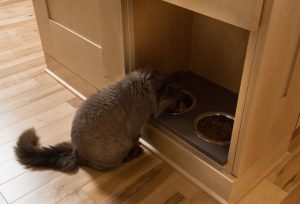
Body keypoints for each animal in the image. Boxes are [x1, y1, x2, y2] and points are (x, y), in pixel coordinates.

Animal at [15, 69, 184, 172]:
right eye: (177, 101)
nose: (181, 106)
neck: (145, 87)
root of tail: (75, 152)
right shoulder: (135, 128)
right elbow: (136, 139)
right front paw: (138, 149)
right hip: (117, 145)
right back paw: (132, 156)